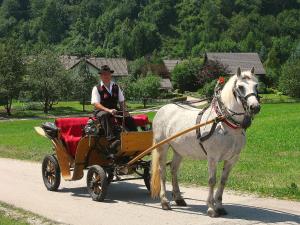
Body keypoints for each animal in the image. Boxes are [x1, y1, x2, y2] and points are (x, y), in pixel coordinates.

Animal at [151, 67, 258, 218]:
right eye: (241, 87)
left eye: (256, 86)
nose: (255, 107)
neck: (224, 122)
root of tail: (163, 108)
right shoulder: (212, 157)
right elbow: (212, 180)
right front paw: (211, 208)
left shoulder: (232, 159)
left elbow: (223, 181)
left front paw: (219, 206)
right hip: (162, 147)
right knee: (162, 171)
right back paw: (165, 201)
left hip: (179, 150)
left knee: (173, 169)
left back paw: (178, 198)